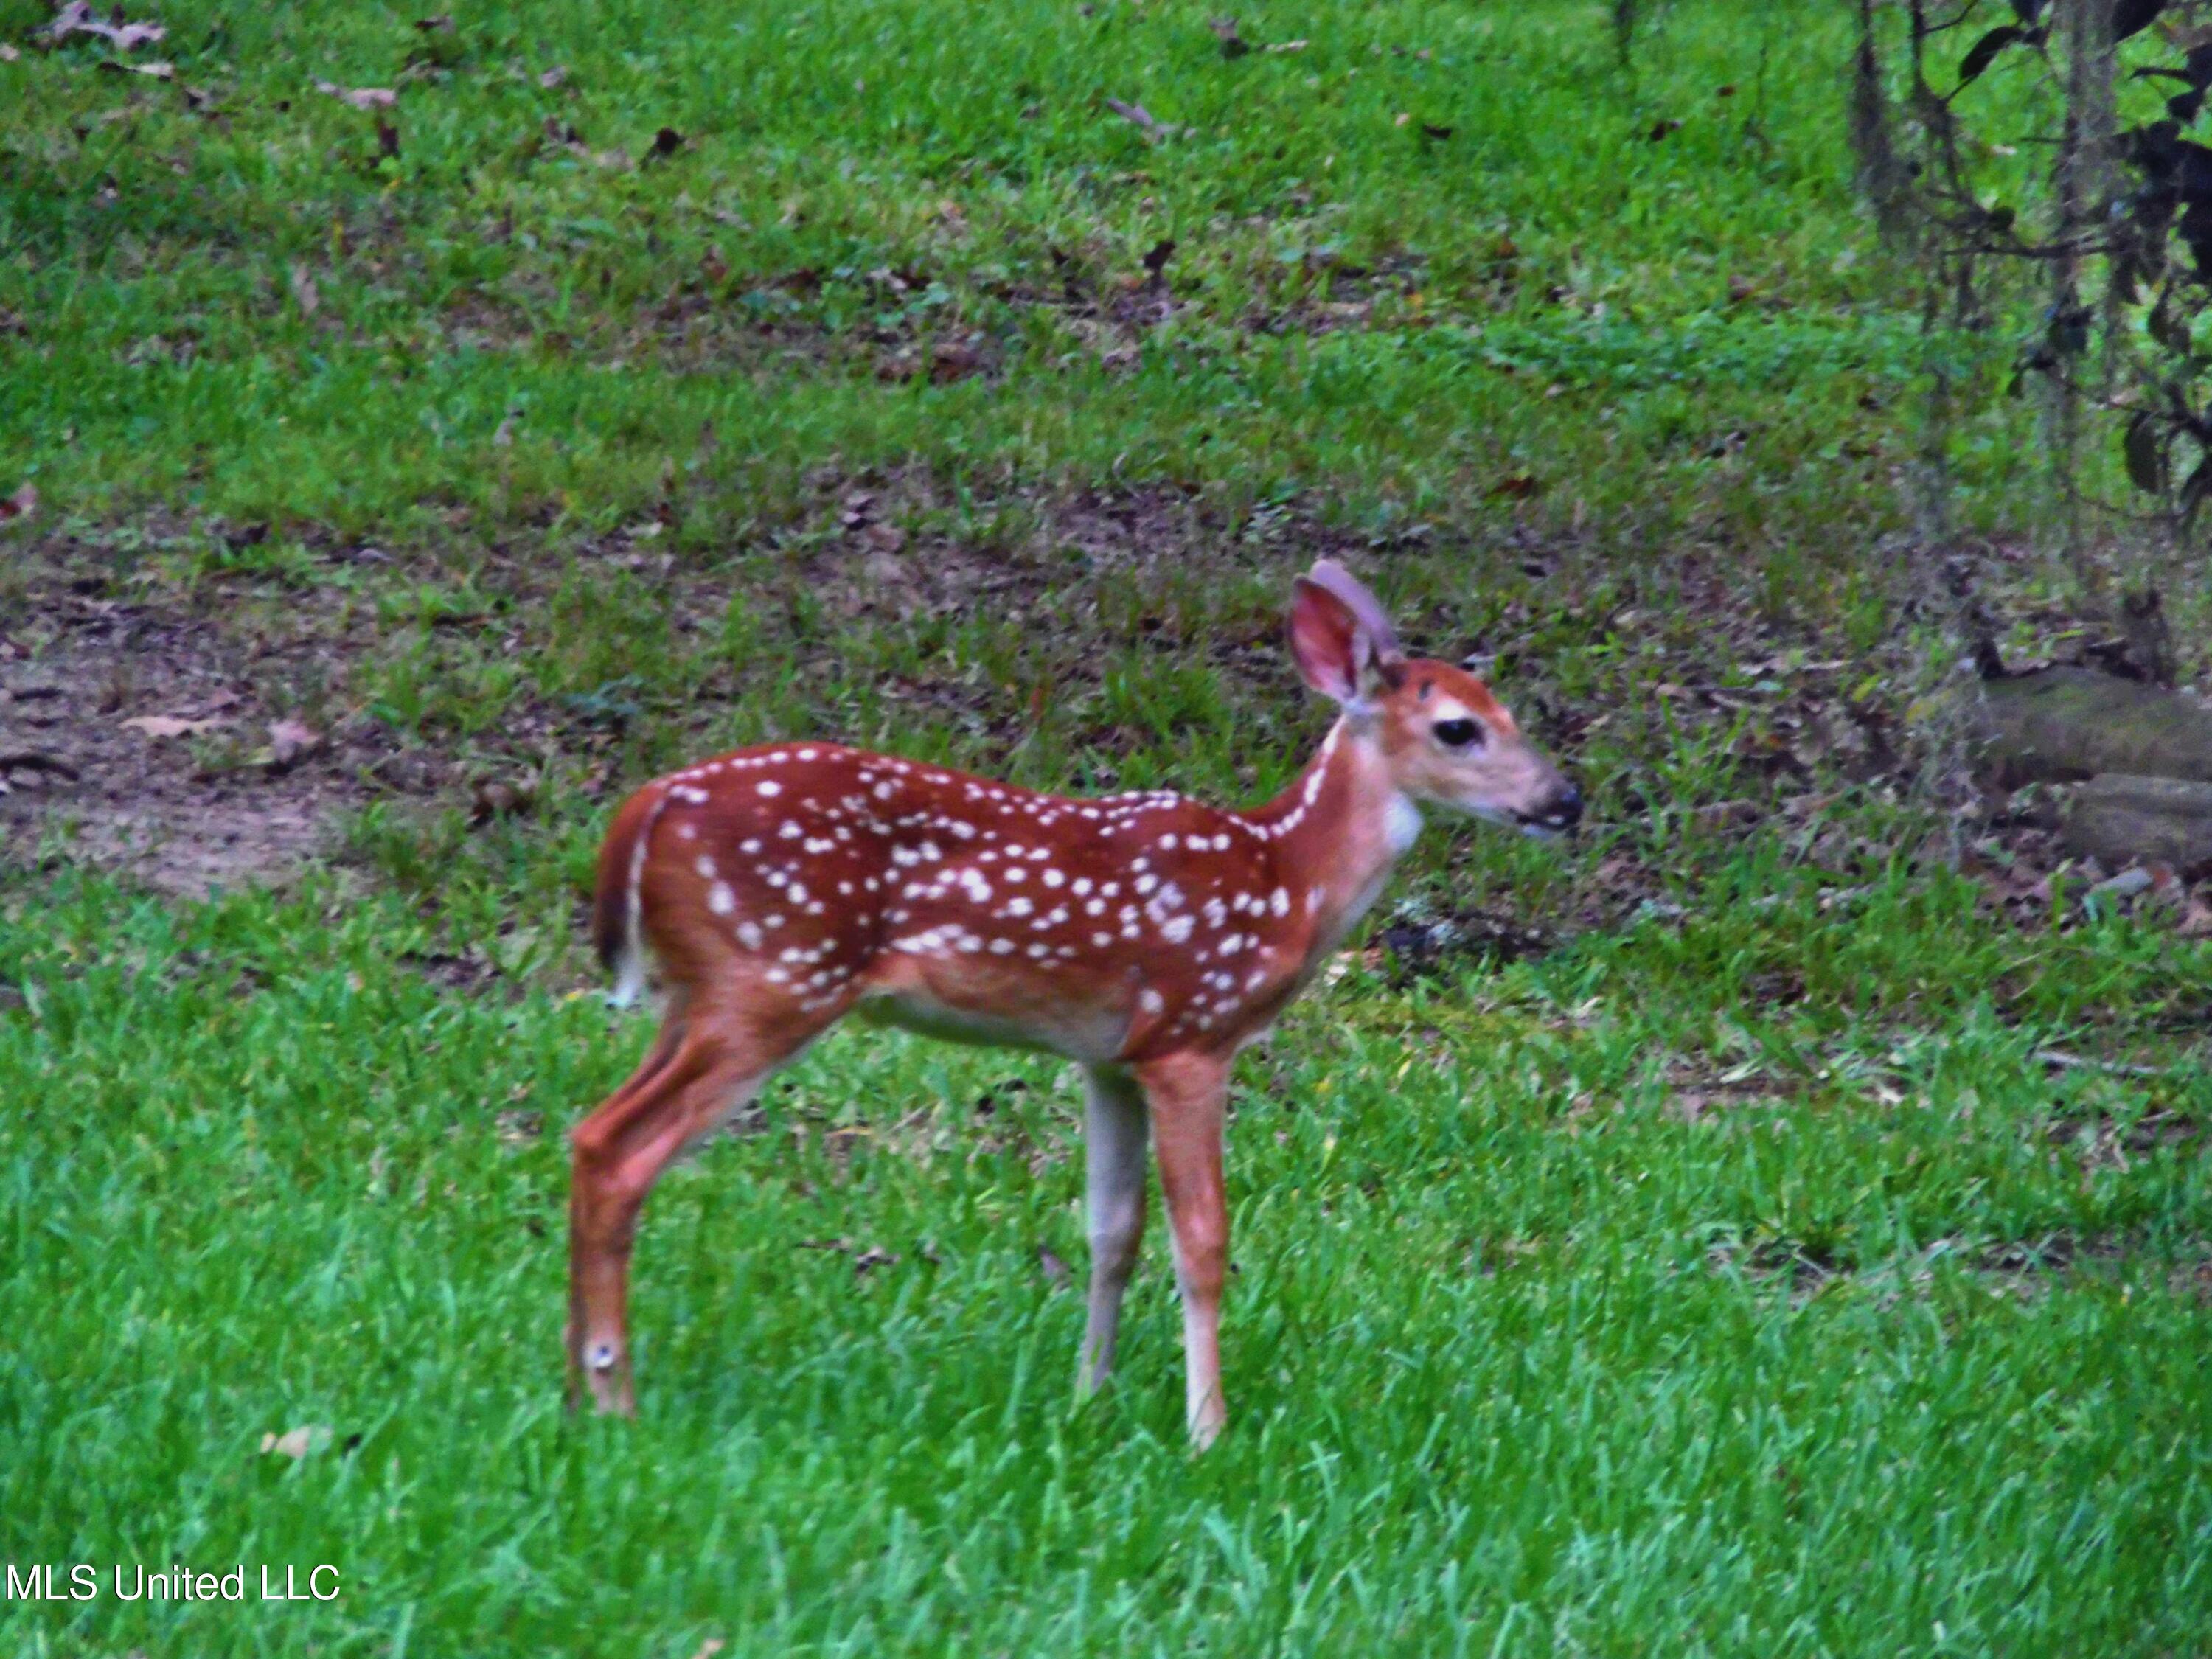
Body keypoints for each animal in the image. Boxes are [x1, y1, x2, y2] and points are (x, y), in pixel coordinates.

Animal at [567, 560, 1580, 1448]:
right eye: (1459, 728)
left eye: (1508, 709)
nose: (1565, 797)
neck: (1283, 884)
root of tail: (650, 805)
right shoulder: (1188, 1036)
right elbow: (1202, 1241)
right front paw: (1207, 1429)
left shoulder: (1107, 1058)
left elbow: (1111, 1232)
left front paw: (1089, 1395)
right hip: (776, 978)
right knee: (622, 1150)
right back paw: (614, 1401)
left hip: (701, 994)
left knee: (590, 1134)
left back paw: (575, 1384)